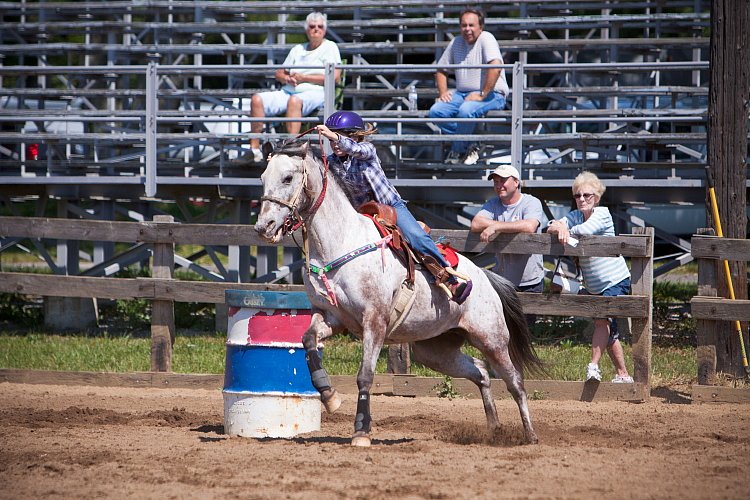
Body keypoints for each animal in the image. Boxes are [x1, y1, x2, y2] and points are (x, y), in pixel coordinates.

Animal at [256, 140, 544, 446]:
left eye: (288, 178)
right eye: (262, 178)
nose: (263, 227)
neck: (341, 241)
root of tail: (485, 278)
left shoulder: (375, 321)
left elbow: (365, 376)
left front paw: (361, 432)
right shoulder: (331, 317)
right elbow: (308, 341)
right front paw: (330, 397)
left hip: (492, 338)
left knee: (515, 382)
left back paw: (530, 435)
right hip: (434, 350)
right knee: (480, 371)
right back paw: (494, 428)